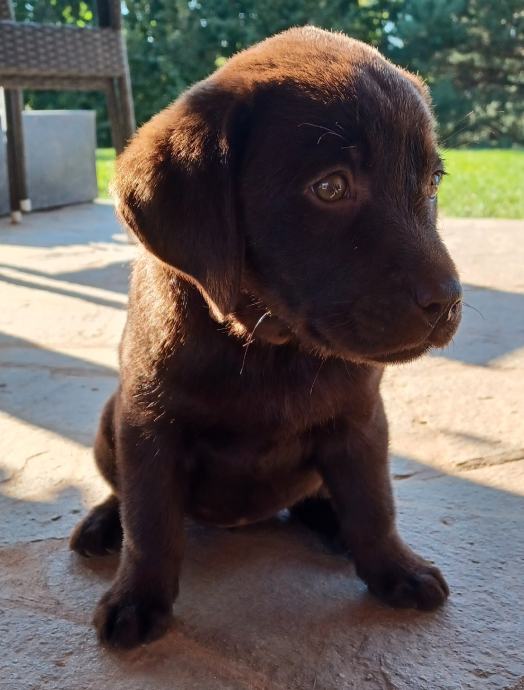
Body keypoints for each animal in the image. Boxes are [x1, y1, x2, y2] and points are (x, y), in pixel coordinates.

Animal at [70, 26, 462, 649]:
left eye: (433, 182)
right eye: (330, 187)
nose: (448, 300)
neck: (265, 344)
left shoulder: (360, 421)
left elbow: (374, 505)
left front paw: (395, 569)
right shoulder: (150, 426)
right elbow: (150, 523)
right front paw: (137, 598)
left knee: (322, 498)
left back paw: (330, 523)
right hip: (113, 421)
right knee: (123, 494)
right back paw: (104, 523)